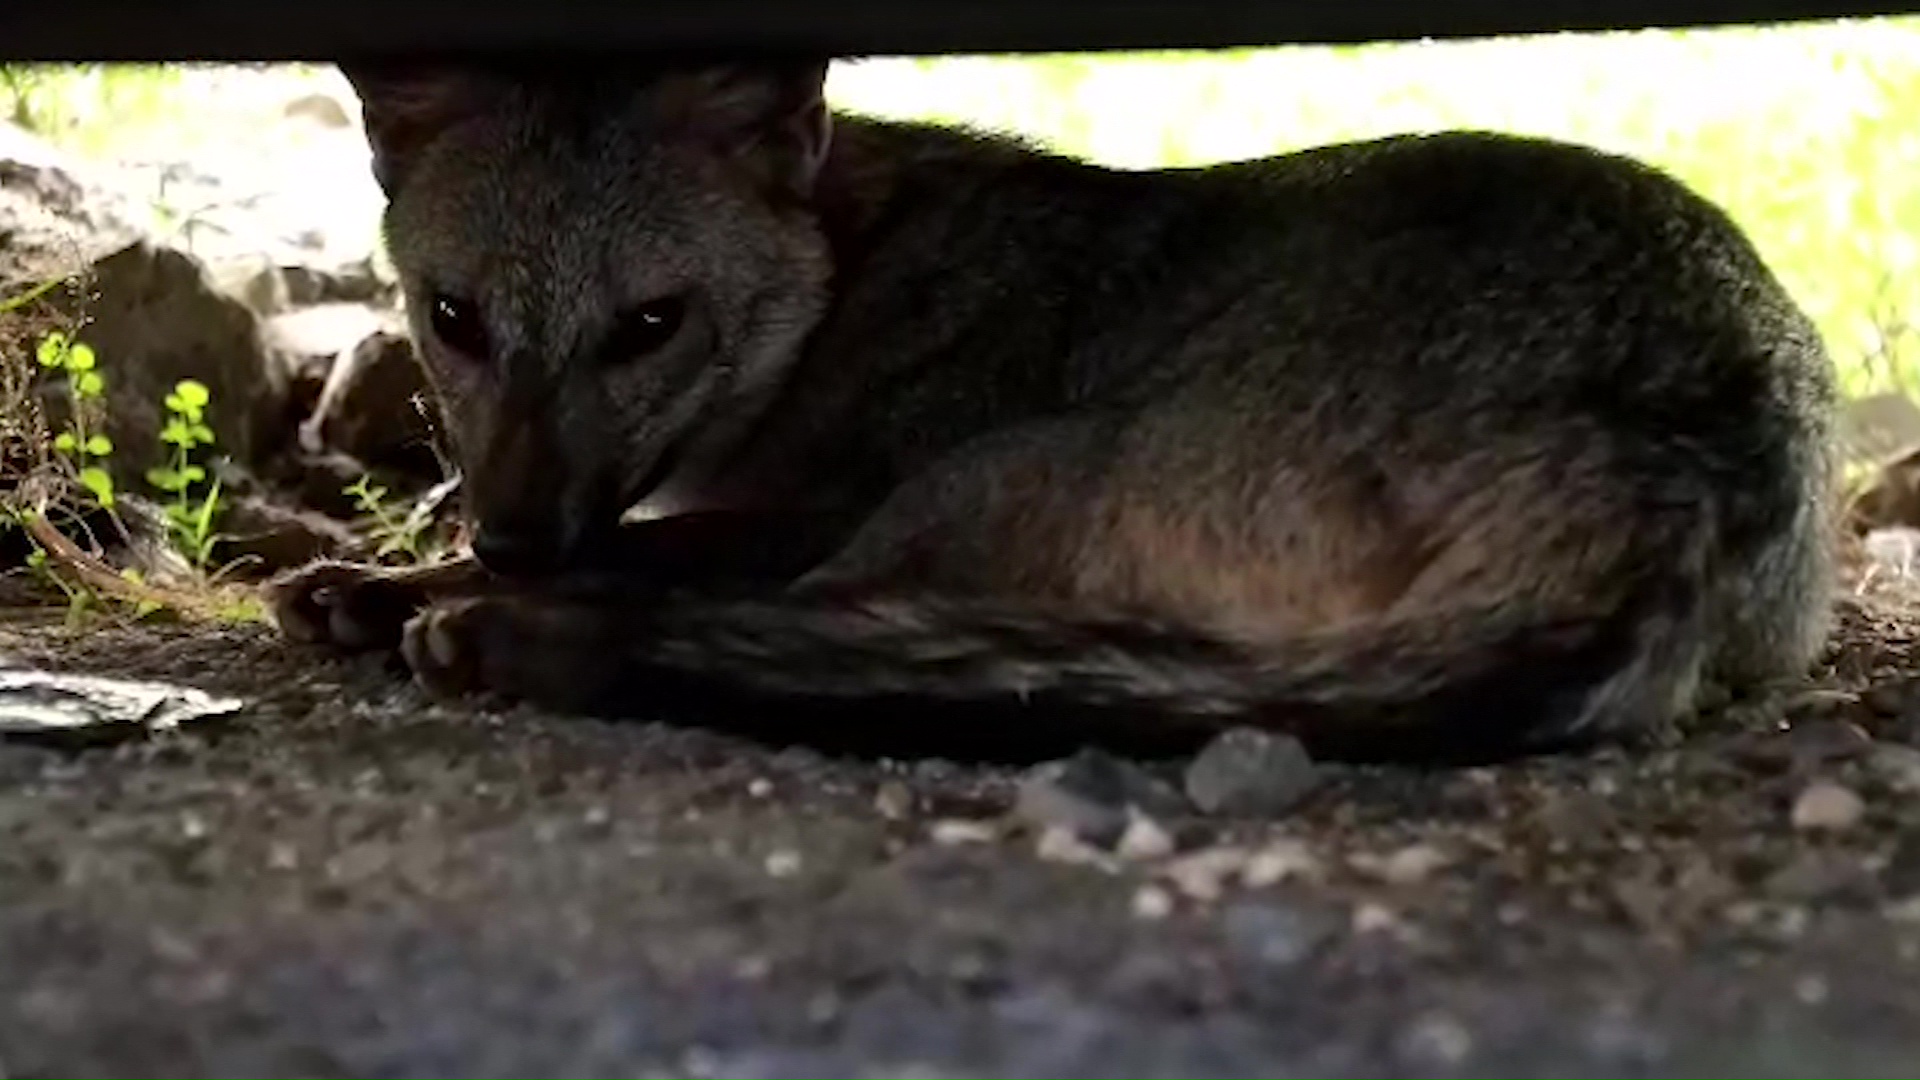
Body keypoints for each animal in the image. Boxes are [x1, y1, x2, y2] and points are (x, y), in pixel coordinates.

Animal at [263, 56, 1835, 757]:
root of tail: (1704, 447)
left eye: (649, 327)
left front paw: (416, 583)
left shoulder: (821, 500)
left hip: (984, 482)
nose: (512, 537)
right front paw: (392, 575)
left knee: (806, 635)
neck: (854, 268)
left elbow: (641, 549)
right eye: (454, 320)